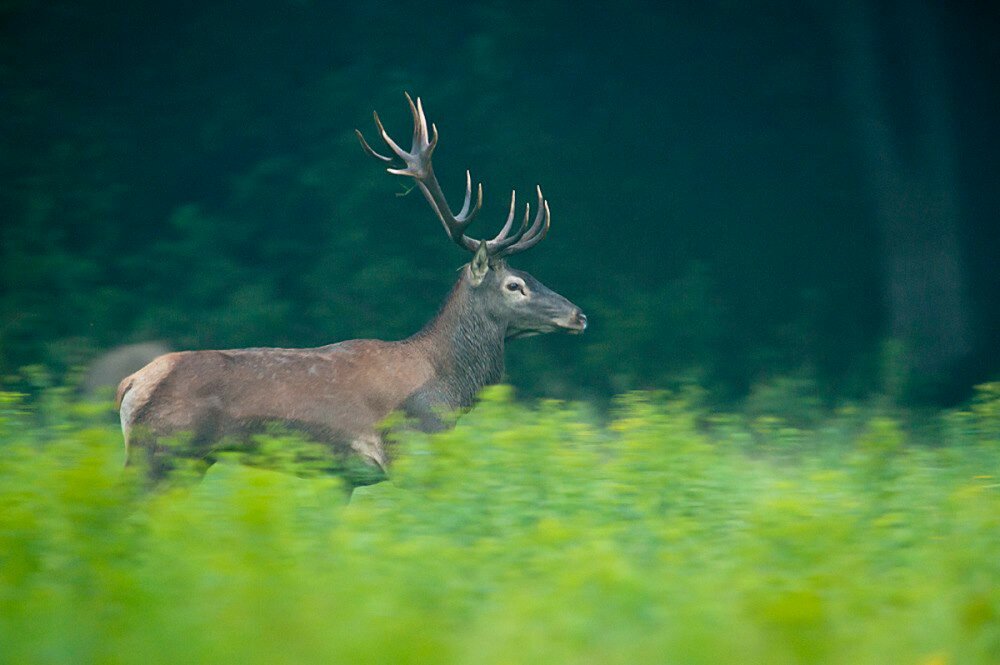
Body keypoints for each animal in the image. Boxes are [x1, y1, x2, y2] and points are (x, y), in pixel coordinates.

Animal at [116, 92, 584, 488]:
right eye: (514, 285)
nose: (579, 314)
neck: (448, 392)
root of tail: (131, 383)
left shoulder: (347, 477)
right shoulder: (409, 449)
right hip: (162, 454)